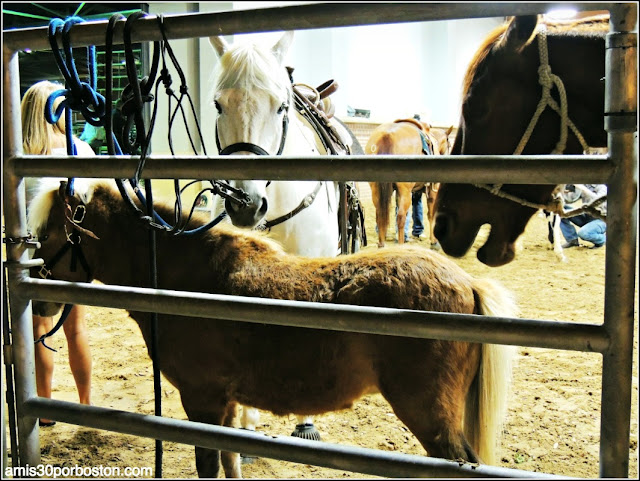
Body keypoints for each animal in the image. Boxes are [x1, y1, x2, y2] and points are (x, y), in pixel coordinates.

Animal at [30, 179, 516, 476]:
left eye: (50, 236)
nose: (38, 301)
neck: (188, 276)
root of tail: (467, 283)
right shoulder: (224, 405)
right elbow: (230, 461)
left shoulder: (202, 401)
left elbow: (210, 464)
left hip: (432, 418)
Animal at [368, 119, 452, 248]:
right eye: (449, 145)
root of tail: (387, 135)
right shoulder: (432, 192)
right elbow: (431, 214)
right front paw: (434, 242)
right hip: (405, 191)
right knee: (401, 217)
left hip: (377, 189)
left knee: (380, 215)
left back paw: (382, 245)